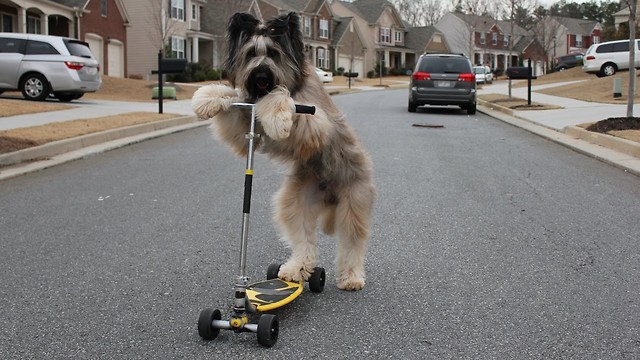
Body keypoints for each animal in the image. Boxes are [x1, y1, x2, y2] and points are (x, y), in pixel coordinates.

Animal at [190, 12, 376, 292]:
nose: (261, 73)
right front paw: (207, 97)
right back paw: (294, 270)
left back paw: (351, 277)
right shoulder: (246, 123)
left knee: (352, 243)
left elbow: (282, 98)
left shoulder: (315, 121)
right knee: (303, 240)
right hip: (295, 203)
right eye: (251, 53)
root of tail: (330, 196)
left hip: (353, 202)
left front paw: (278, 115)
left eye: (274, 53)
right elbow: (233, 99)